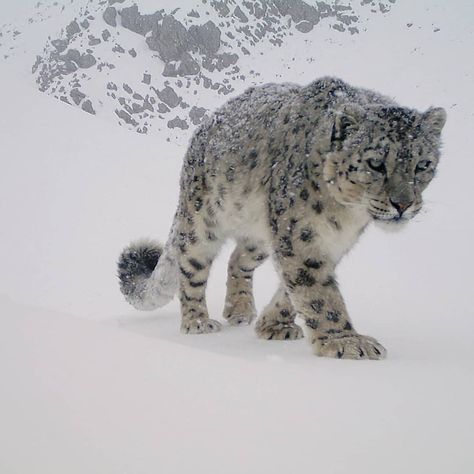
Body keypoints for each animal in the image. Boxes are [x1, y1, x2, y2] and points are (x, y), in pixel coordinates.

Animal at [116, 77, 446, 360]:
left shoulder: (330, 243)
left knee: (238, 259)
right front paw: (345, 341)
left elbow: (295, 288)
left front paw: (274, 324)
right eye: (376, 163)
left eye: (423, 164)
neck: (345, 215)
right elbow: (317, 291)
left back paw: (240, 310)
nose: (403, 203)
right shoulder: (300, 234)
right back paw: (197, 321)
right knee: (191, 264)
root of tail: (205, 127)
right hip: (201, 219)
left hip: (260, 235)